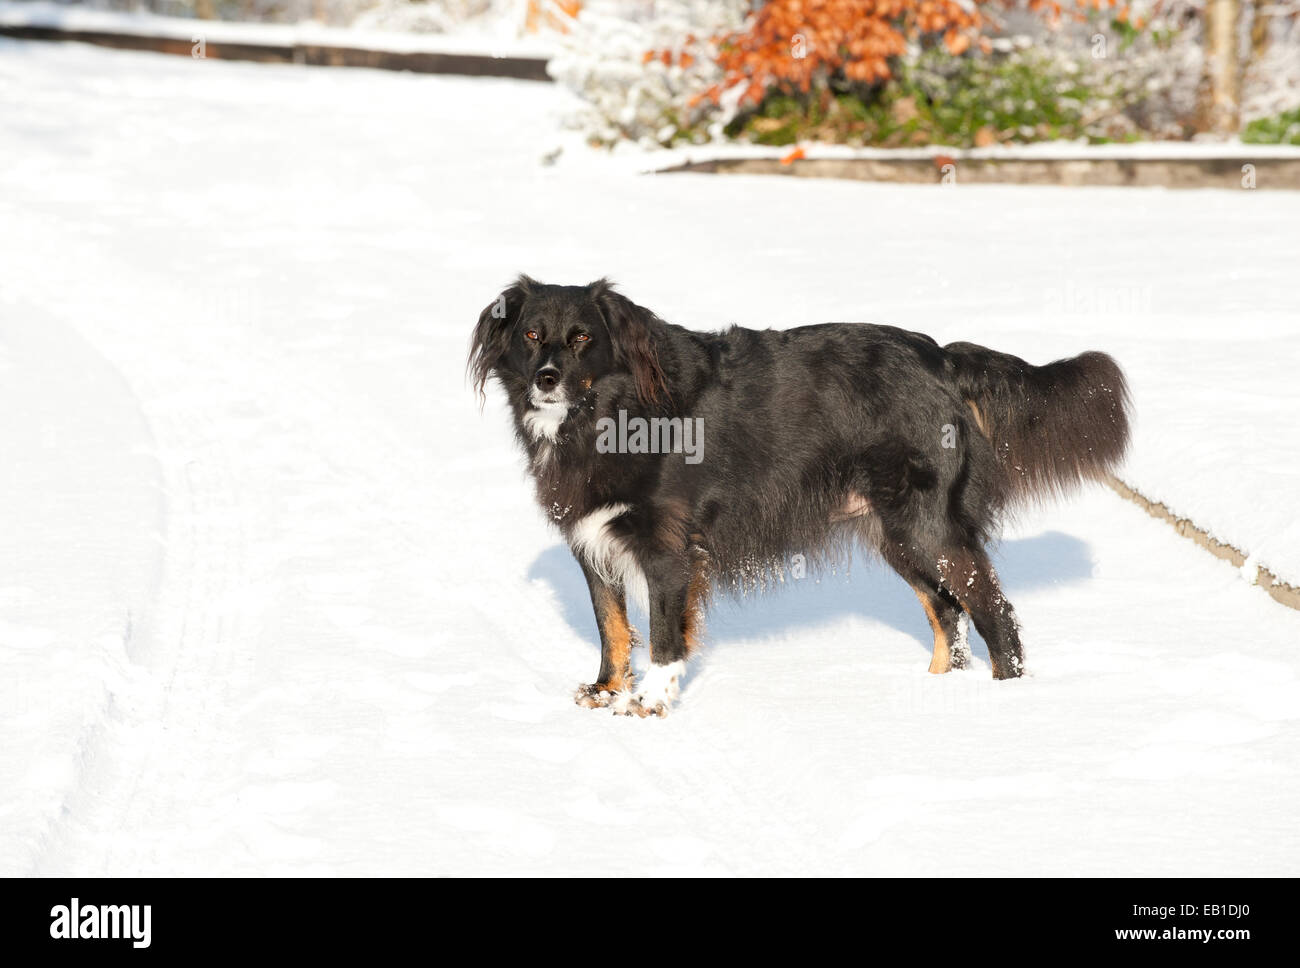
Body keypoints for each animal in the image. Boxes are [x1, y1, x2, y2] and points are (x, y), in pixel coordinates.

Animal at [467, 275, 1128, 712]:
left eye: (583, 338)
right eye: (532, 334)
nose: (546, 379)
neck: (610, 410)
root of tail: (941, 358)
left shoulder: (670, 548)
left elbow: (661, 635)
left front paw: (648, 704)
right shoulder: (593, 541)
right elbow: (613, 627)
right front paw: (606, 690)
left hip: (927, 524)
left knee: (994, 612)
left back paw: (1004, 707)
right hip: (894, 529)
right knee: (947, 612)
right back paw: (932, 692)